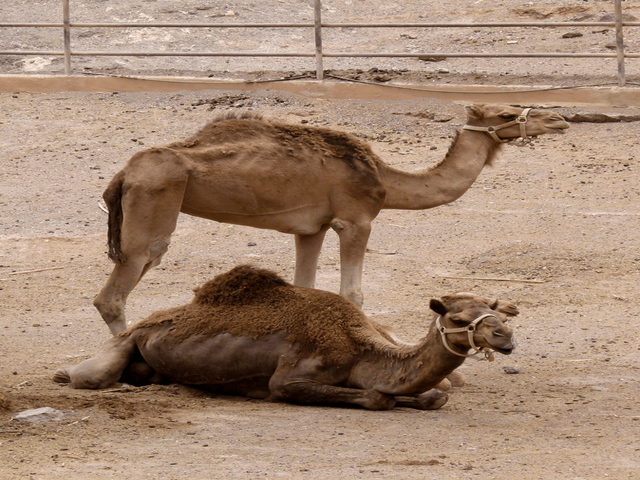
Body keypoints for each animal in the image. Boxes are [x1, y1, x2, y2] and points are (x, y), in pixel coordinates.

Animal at [55, 265, 519, 411]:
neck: (361, 348)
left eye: (494, 310)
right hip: (126, 341)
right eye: (459, 316)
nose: (505, 335)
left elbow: (434, 394)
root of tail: (147, 321)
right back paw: (70, 375)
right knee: (92, 376)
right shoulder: (289, 379)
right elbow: (377, 398)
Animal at [94, 104, 567, 335]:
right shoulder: (354, 219)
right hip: (155, 202)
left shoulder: (312, 228)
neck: (385, 180)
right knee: (121, 285)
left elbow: (305, 286)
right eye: (506, 114)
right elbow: (352, 294)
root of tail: (123, 174)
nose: (559, 119)